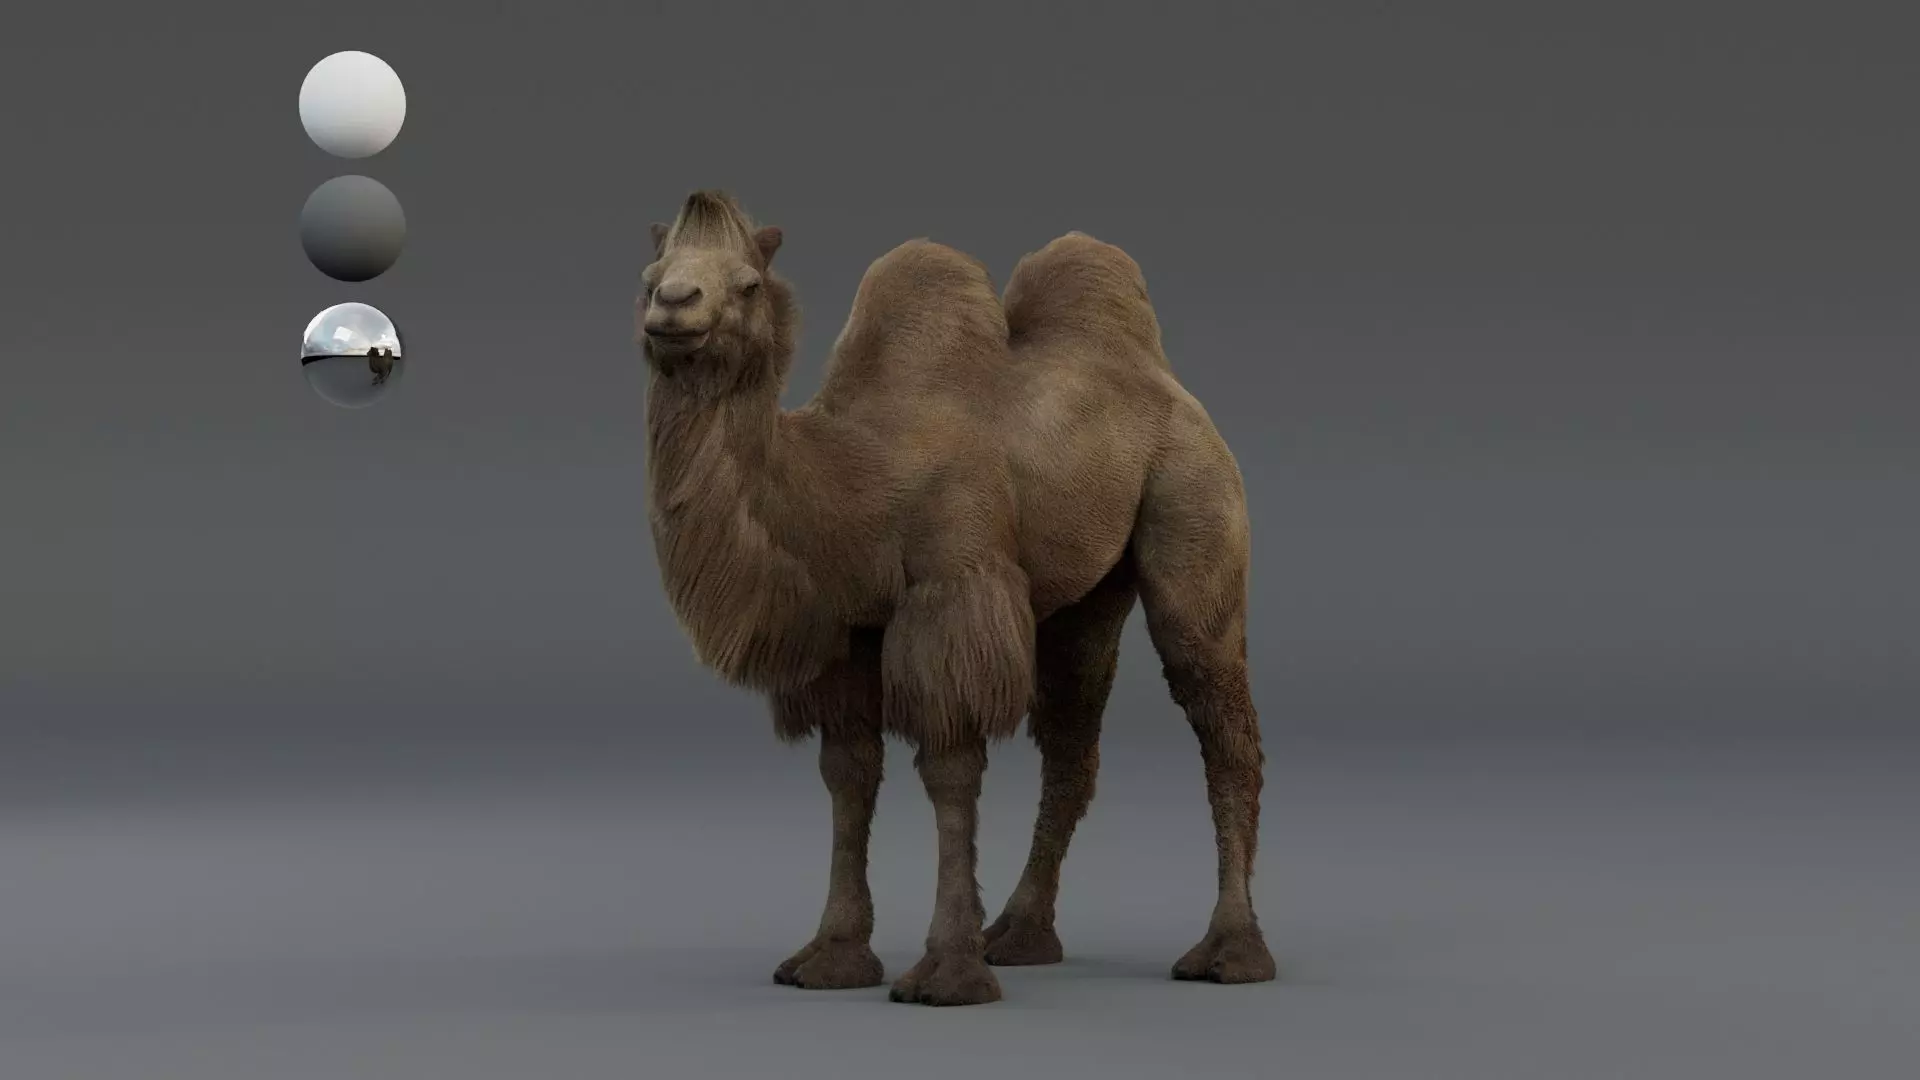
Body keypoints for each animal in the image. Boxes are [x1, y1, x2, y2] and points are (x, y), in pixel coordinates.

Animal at [635, 190, 1274, 1006]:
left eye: (747, 283)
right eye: (650, 274)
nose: (673, 304)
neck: (848, 478)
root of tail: (1169, 384)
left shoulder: (954, 595)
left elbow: (948, 768)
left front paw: (946, 972)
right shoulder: (849, 634)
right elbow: (847, 773)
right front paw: (832, 956)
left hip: (1195, 502)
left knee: (1222, 723)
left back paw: (1230, 950)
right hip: (1087, 595)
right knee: (1073, 740)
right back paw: (1022, 933)